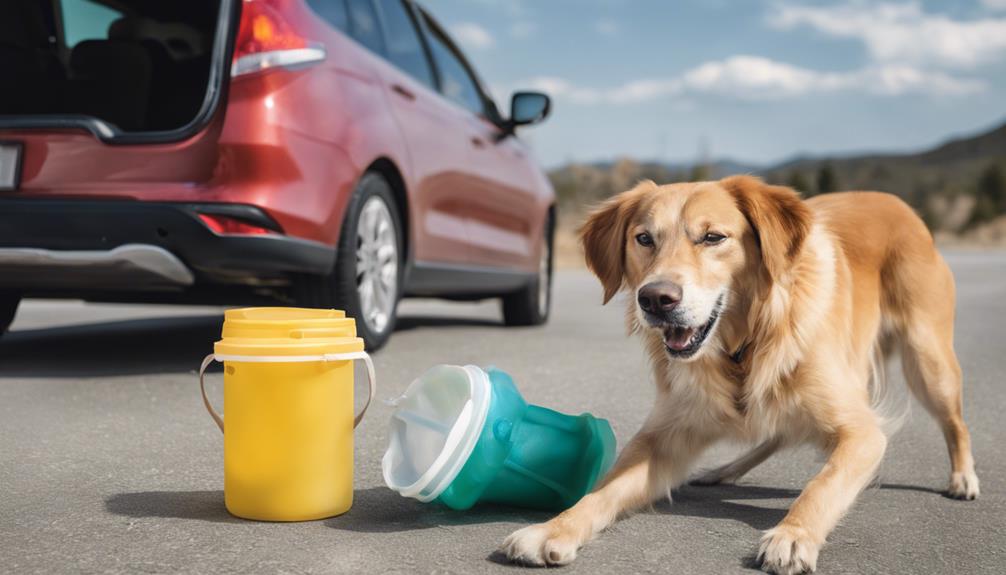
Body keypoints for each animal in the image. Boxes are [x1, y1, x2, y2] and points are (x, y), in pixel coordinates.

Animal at [507, 177, 977, 570]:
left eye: (713, 237)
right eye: (644, 239)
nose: (655, 299)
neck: (741, 349)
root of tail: (896, 203)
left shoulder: (863, 432)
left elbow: (822, 485)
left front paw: (793, 535)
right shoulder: (663, 438)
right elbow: (601, 491)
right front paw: (553, 528)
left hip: (928, 360)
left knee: (956, 423)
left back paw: (963, 477)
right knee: (775, 431)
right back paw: (723, 470)